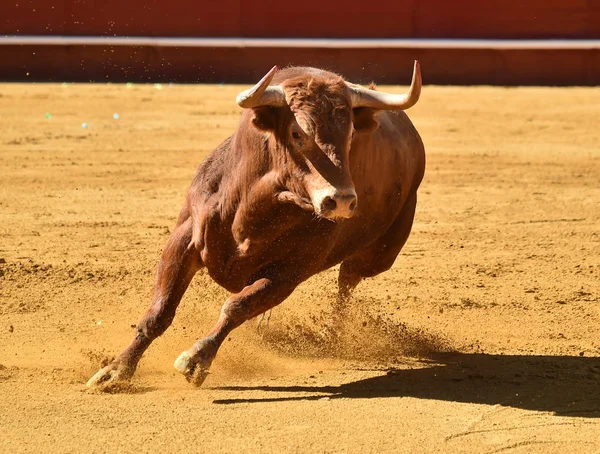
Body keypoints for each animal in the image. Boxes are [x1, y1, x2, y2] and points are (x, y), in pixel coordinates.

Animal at [88, 59, 426, 386]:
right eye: (297, 133)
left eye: (351, 134)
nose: (341, 200)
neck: (252, 207)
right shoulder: (183, 240)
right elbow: (159, 311)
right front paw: (116, 369)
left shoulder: (290, 272)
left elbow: (238, 306)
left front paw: (196, 359)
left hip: (379, 255)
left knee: (347, 281)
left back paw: (329, 334)